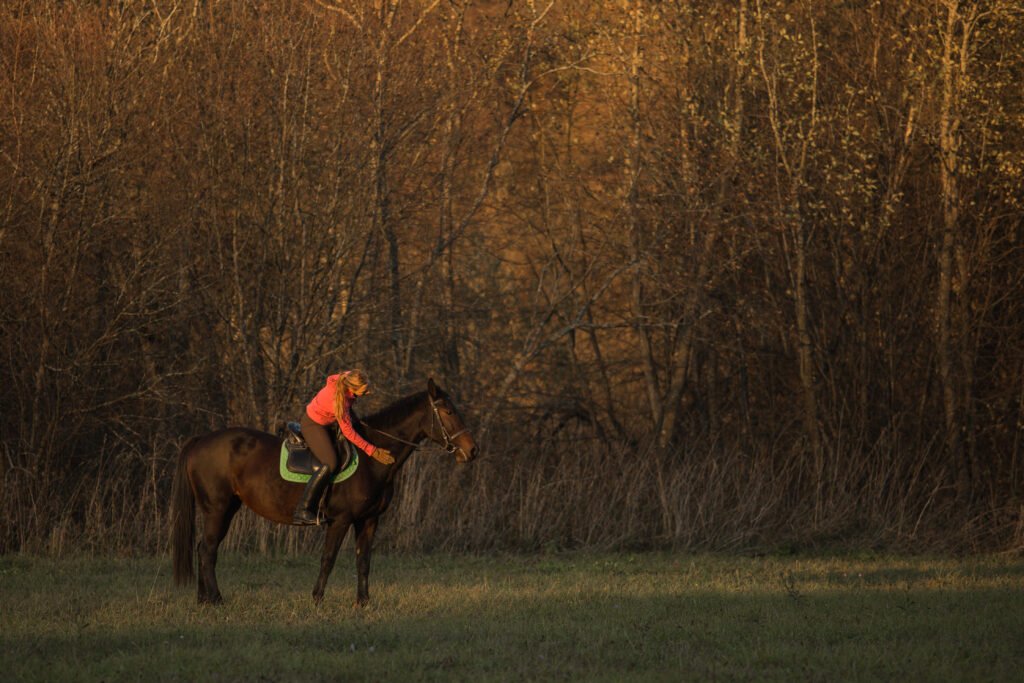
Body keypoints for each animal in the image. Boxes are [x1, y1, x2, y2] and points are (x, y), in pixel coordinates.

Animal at [172, 376, 479, 606]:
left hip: (227, 508)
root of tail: (201, 440)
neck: (372, 458)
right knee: (208, 549)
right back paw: (216, 599)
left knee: (204, 548)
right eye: (448, 412)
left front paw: (363, 603)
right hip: (218, 508)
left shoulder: (368, 520)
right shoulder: (340, 520)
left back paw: (203, 600)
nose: (472, 450)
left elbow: (363, 560)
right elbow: (328, 558)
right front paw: (317, 599)